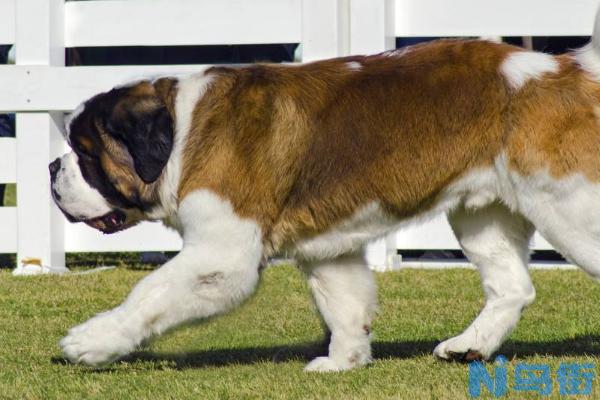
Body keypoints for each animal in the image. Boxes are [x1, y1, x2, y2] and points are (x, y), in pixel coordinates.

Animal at [51, 12, 600, 374]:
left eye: (85, 152)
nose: (53, 168)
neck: (182, 133)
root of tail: (564, 70)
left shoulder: (220, 257)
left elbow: (151, 294)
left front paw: (92, 340)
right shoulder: (327, 249)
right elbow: (345, 301)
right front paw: (344, 361)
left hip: (568, 207)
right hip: (483, 212)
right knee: (512, 287)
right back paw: (470, 344)